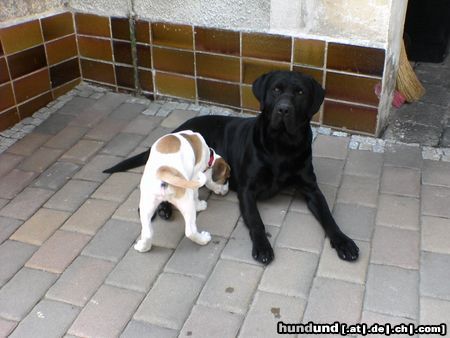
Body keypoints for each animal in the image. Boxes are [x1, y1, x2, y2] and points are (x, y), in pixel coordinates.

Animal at [104, 70, 358, 264]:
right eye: (276, 90)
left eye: (300, 92)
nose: (284, 109)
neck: (282, 146)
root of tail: (177, 129)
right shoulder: (247, 190)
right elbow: (256, 220)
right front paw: (263, 246)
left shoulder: (311, 188)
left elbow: (328, 216)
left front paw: (343, 241)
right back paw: (166, 209)